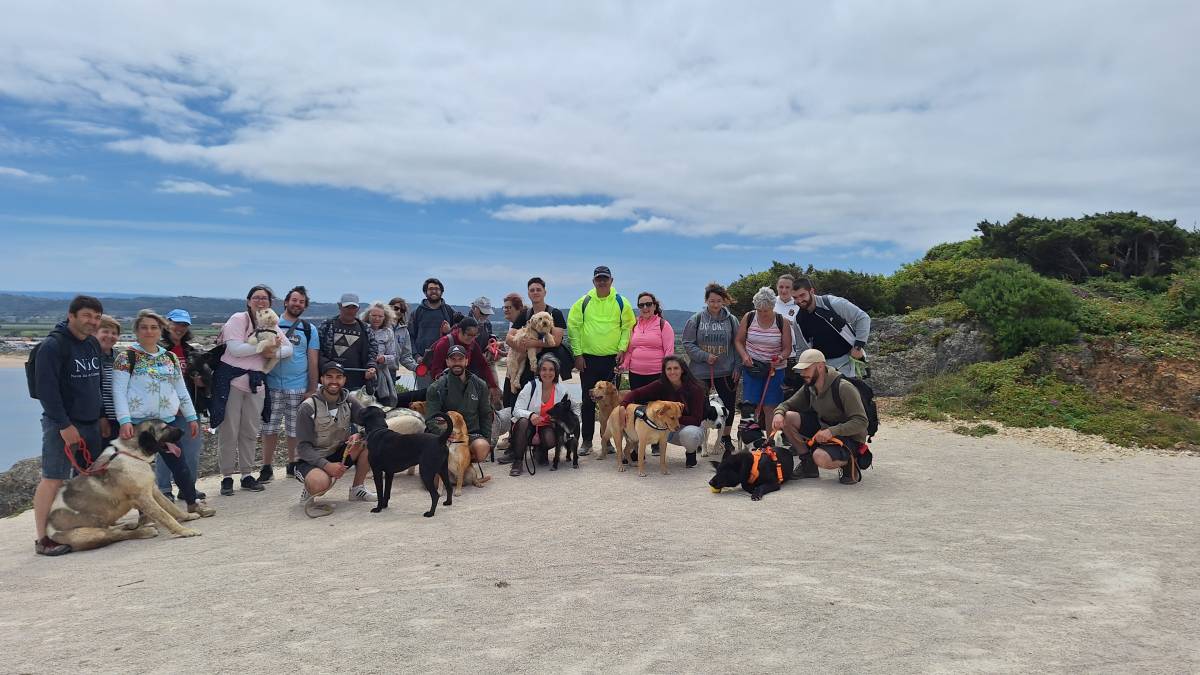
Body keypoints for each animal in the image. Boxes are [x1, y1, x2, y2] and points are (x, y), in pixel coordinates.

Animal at [46, 417, 201, 550]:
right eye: (164, 428)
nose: (184, 431)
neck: (133, 454)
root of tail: (48, 529)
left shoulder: (153, 490)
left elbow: (171, 507)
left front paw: (187, 516)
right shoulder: (144, 498)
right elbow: (166, 516)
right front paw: (184, 530)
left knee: (113, 529)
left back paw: (129, 525)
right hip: (93, 533)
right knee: (116, 536)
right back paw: (144, 531)